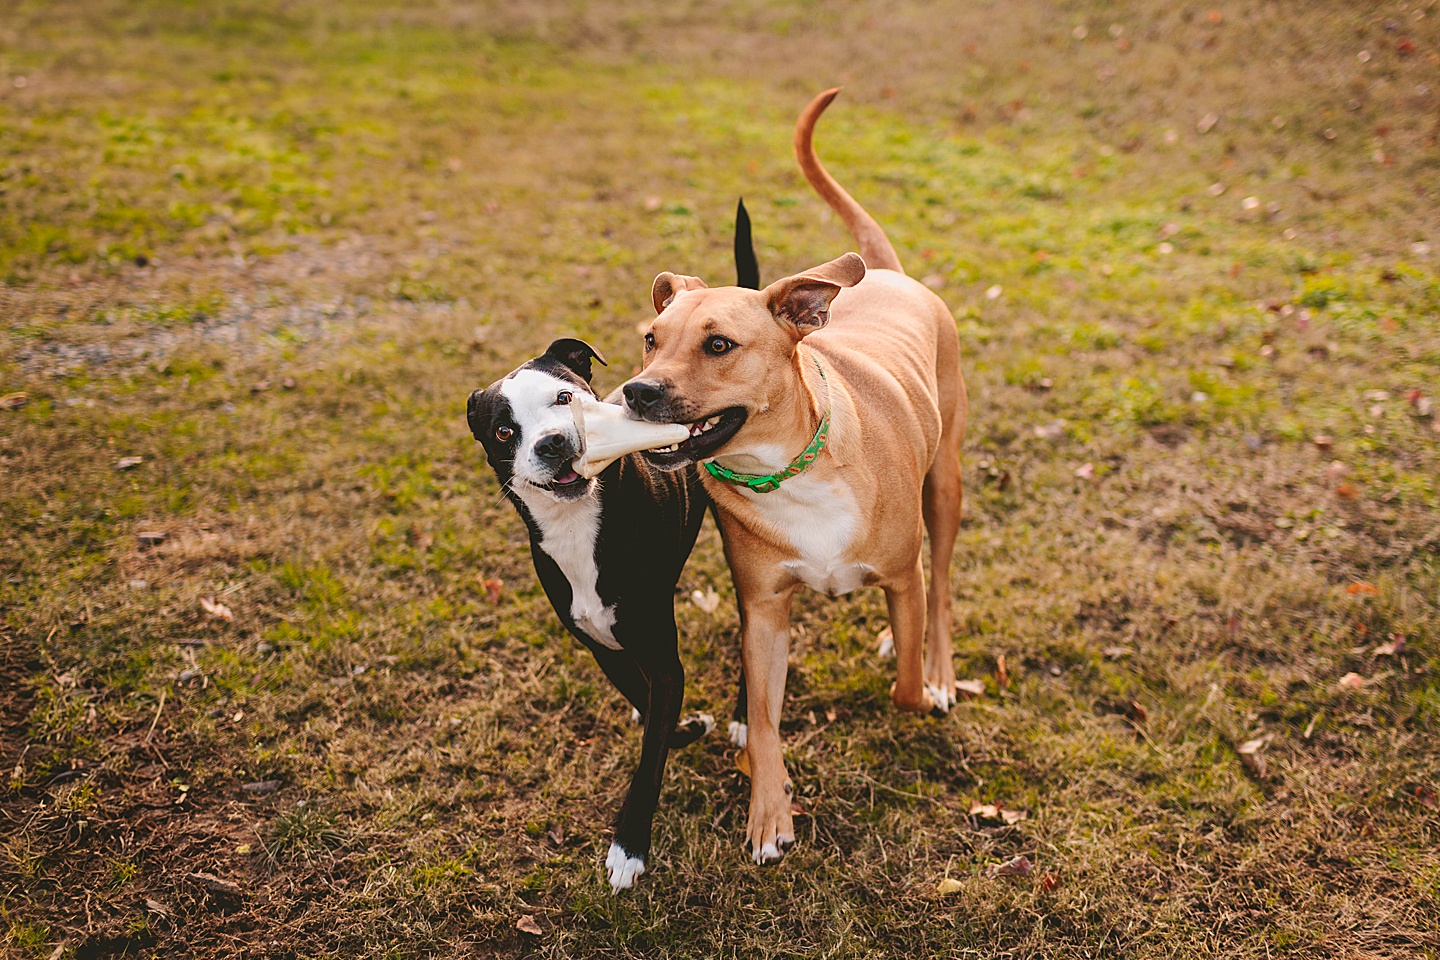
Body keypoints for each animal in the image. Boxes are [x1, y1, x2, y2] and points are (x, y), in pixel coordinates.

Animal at [622, 89, 967, 863]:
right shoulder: (763, 611)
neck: (786, 471)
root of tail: (891, 273)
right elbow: (764, 720)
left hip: (946, 484)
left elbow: (903, 684)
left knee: (938, 587)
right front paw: (769, 809)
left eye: (720, 345)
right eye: (652, 340)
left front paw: (914, 678)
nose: (637, 392)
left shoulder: (900, 571)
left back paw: (938, 667)